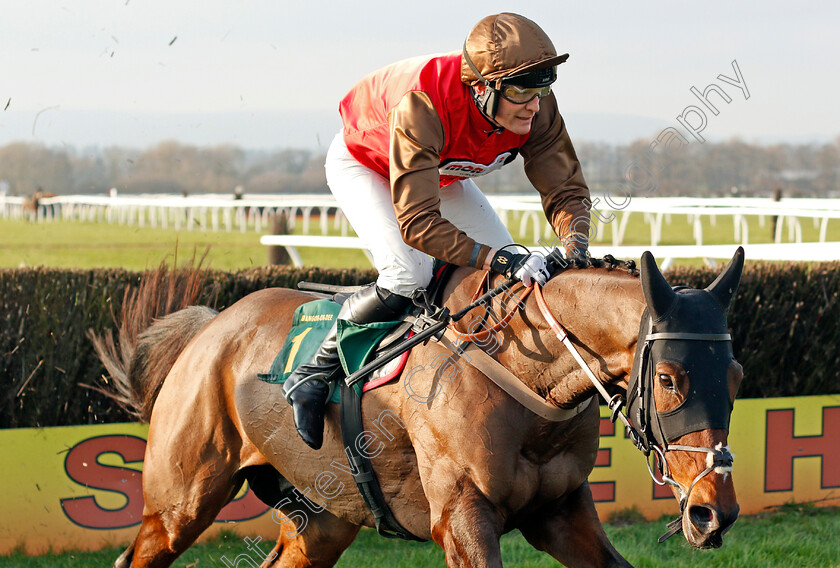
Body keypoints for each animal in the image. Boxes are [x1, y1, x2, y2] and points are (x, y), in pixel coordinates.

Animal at [95, 248, 744, 568]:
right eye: (669, 379)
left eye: (736, 376)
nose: (715, 511)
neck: (524, 373)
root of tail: (210, 327)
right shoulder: (462, 518)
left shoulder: (559, 511)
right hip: (178, 505)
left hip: (320, 517)